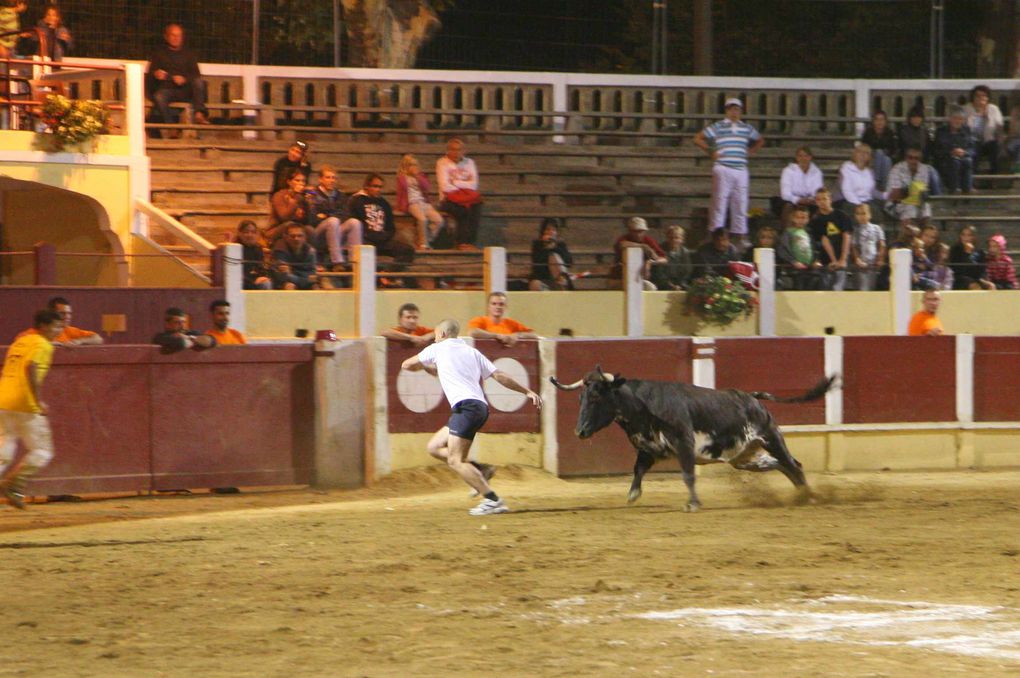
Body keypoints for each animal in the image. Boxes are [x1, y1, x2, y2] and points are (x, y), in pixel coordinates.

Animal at [550, 367, 836, 509]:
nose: (579, 431)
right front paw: (632, 496)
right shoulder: (647, 449)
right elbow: (638, 469)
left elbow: (688, 475)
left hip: (771, 437)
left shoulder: (684, 445)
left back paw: (808, 496)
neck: (643, 407)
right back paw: (802, 495)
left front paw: (693, 503)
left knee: (793, 464)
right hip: (745, 458)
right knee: (781, 466)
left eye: (597, 397)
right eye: (581, 397)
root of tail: (753, 398)